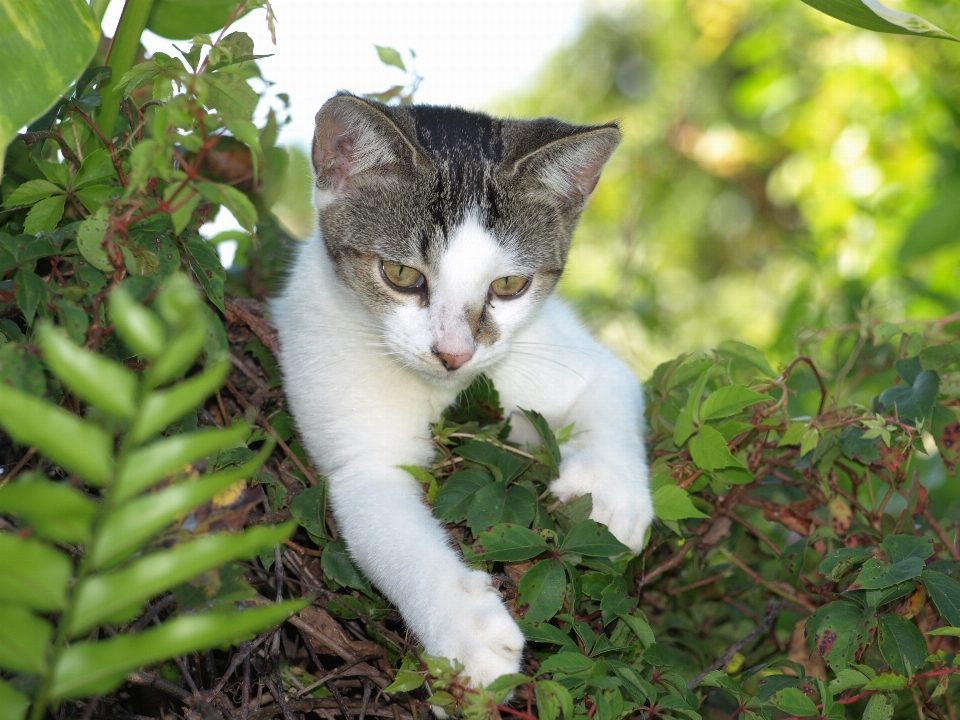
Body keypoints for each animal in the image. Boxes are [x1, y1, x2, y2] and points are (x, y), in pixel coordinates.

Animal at [274, 93, 656, 688]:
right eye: (400, 274)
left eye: (510, 285)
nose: (454, 354)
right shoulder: (360, 460)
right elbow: (395, 536)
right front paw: (466, 629)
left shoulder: (567, 353)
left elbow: (613, 388)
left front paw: (610, 492)